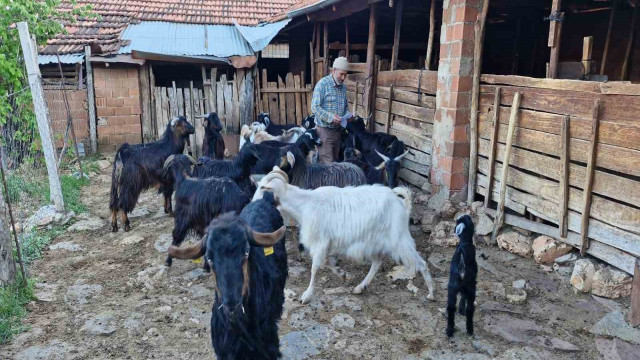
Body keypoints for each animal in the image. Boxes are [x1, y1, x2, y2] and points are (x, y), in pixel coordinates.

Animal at [255, 167, 436, 304]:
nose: (252, 202)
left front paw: (306, 296)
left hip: (398, 239)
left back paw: (431, 293)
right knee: (377, 263)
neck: (305, 204)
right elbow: (327, 263)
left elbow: (315, 268)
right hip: (374, 241)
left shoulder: (320, 241)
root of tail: (403, 204)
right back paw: (360, 287)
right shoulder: (327, 243)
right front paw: (342, 274)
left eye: (263, 188)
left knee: (421, 263)